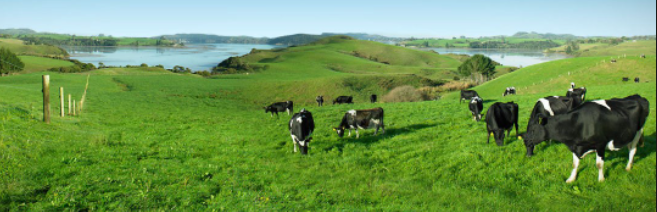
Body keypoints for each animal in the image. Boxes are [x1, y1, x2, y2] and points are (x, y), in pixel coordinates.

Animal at [520, 95, 648, 183]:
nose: (528, 154)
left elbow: (599, 164)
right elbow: (574, 164)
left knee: (632, 151)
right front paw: (571, 179)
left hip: (638, 132)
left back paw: (628, 167)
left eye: (533, 130)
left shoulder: (600, 144)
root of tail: (637, 96)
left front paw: (601, 179)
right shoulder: (576, 146)